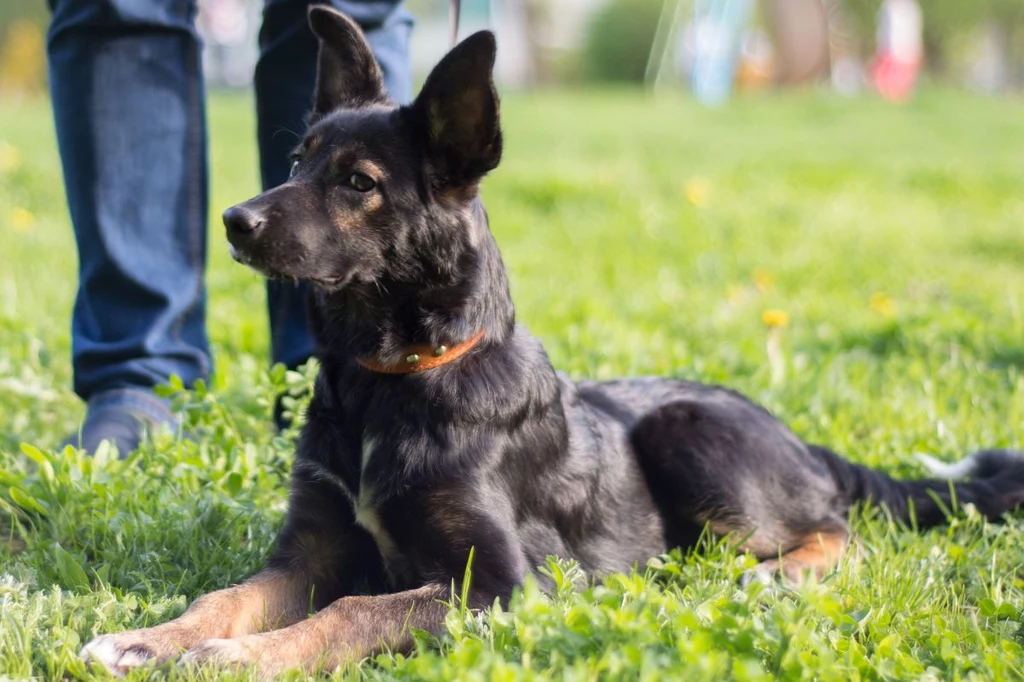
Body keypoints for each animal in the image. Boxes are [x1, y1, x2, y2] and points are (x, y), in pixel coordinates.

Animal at [79, 7, 1024, 675]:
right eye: (295, 160)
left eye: (358, 183)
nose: (235, 222)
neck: (393, 379)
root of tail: (799, 439)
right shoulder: (311, 548)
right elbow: (228, 593)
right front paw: (151, 638)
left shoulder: (505, 588)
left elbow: (355, 611)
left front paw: (239, 659)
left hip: (692, 439)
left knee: (839, 532)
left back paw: (777, 574)